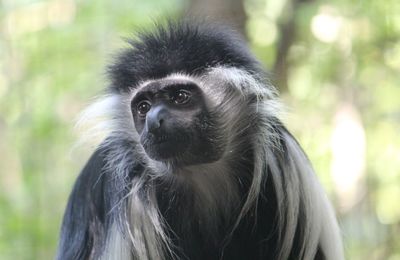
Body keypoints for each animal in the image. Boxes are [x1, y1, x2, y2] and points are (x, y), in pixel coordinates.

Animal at [55, 20, 344, 260]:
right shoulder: (126, 195)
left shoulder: (285, 164)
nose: (154, 120)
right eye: (144, 107)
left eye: (180, 97)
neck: (199, 171)